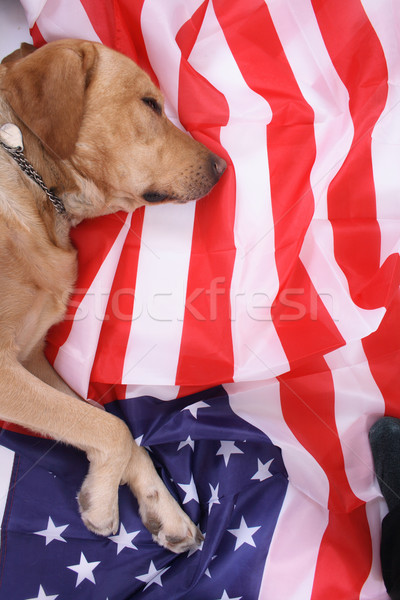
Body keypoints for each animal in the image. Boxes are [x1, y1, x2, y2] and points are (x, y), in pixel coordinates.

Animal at [0, 37, 225, 552]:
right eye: (150, 104)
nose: (222, 167)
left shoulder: (32, 358)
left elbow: (103, 420)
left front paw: (165, 509)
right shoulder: (6, 371)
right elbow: (112, 425)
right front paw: (101, 503)